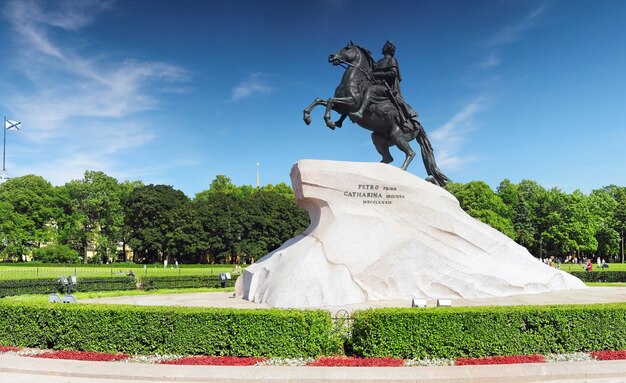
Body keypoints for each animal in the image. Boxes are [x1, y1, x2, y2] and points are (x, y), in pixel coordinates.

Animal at [302, 42, 448, 187]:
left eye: (347, 48)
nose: (331, 56)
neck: (354, 81)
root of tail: (418, 126)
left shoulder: (351, 103)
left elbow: (330, 101)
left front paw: (330, 122)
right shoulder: (341, 108)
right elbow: (320, 100)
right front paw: (308, 117)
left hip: (398, 136)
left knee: (411, 153)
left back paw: (401, 170)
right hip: (379, 138)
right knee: (389, 158)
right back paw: (376, 167)